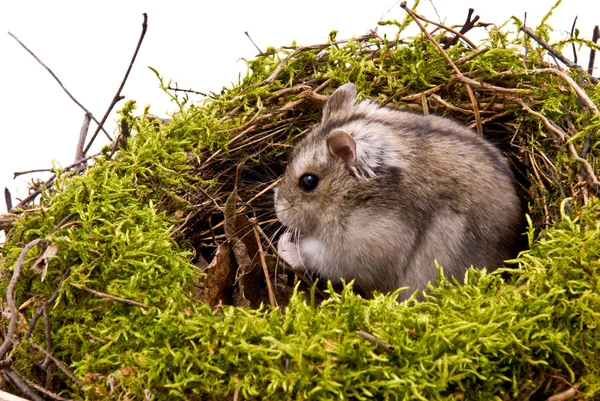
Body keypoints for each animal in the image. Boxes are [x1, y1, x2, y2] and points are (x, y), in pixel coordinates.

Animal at [274, 81, 524, 298]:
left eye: (308, 181)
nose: (277, 207)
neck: (353, 197)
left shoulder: (356, 247)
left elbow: (313, 255)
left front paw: (283, 244)